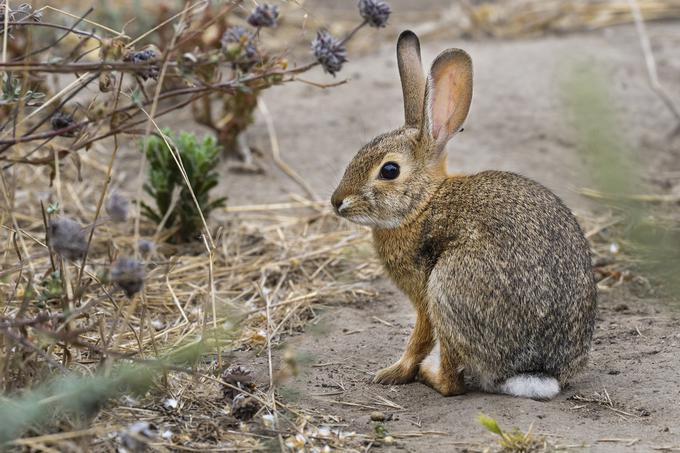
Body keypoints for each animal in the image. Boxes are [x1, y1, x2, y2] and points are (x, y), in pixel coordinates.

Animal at [330, 30, 596, 400]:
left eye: (389, 170)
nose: (337, 202)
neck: (424, 204)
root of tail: (535, 371)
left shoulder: (424, 297)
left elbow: (419, 338)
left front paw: (392, 372)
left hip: (447, 288)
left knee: (452, 383)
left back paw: (428, 375)